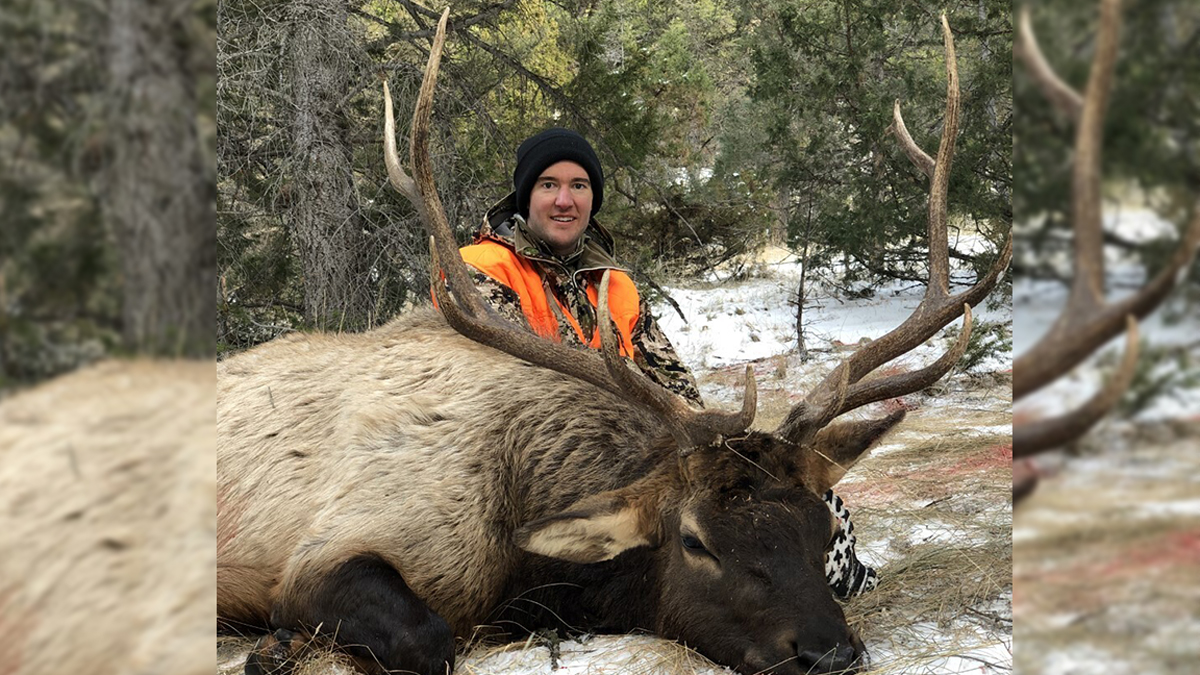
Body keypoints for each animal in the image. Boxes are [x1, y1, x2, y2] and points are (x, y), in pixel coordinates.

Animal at [215, 10, 1010, 675]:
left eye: (819, 529)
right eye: (695, 540)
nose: (828, 652)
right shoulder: (333, 545)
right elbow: (425, 636)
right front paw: (277, 640)